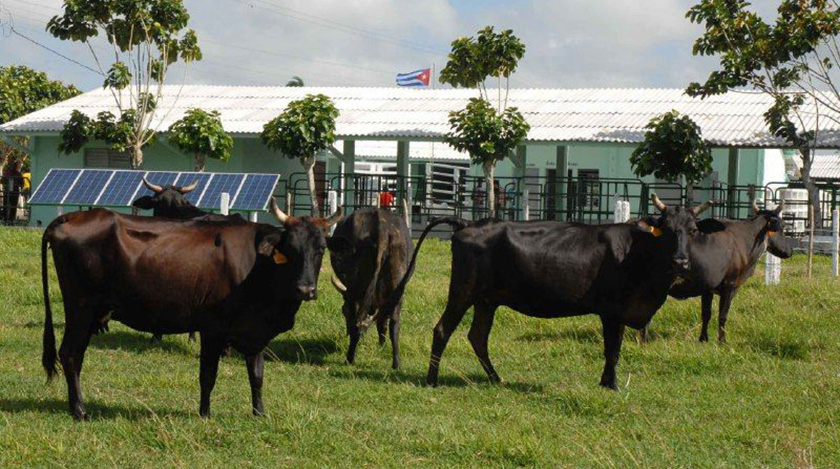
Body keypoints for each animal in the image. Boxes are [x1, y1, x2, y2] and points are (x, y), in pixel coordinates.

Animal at [39, 199, 342, 418]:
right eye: (289, 249)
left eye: (321, 248)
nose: (305, 289)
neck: (256, 265)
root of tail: (71, 217)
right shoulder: (212, 328)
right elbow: (208, 375)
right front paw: (204, 413)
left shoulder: (254, 332)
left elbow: (256, 375)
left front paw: (260, 413)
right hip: (80, 307)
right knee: (70, 354)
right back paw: (79, 410)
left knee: (75, 356)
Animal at [328, 207, 414, 368]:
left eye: (343, 311)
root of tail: (382, 227)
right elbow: (382, 321)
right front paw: (381, 345)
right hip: (398, 287)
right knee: (394, 322)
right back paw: (396, 363)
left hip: (355, 288)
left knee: (358, 321)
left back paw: (349, 358)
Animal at [388, 195, 708, 392]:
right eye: (667, 230)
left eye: (693, 230)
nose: (681, 262)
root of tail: (469, 223)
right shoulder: (613, 311)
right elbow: (613, 350)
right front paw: (612, 385)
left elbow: (612, 350)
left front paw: (607, 383)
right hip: (462, 291)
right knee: (443, 329)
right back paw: (432, 379)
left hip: (487, 301)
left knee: (477, 336)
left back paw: (496, 378)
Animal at [644, 199, 796, 342]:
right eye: (782, 227)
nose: (790, 250)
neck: (745, 239)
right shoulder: (730, 285)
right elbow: (722, 315)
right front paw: (722, 341)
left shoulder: (707, 287)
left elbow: (706, 314)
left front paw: (703, 339)